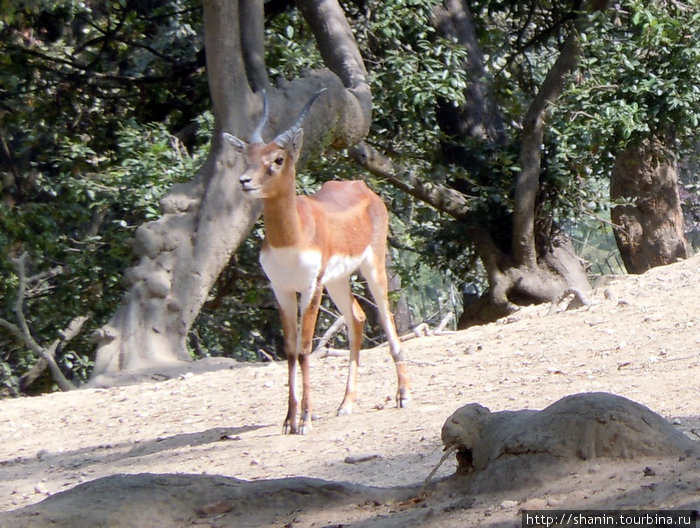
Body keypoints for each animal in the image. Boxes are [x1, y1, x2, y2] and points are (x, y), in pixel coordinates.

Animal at [224, 91, 410, 436]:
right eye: (248, 156)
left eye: (277, 159)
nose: (244, 181)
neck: (292, 236)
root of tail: (361, 187)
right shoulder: (282, 289)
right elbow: (289, 350)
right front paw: (289, 420)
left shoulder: (311, 287)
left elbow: (305, 348)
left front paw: (306, 420)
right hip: (336, 280)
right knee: (357, 318)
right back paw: (346, 404)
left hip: (372, 266)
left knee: (386, 316)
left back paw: (403, 395)